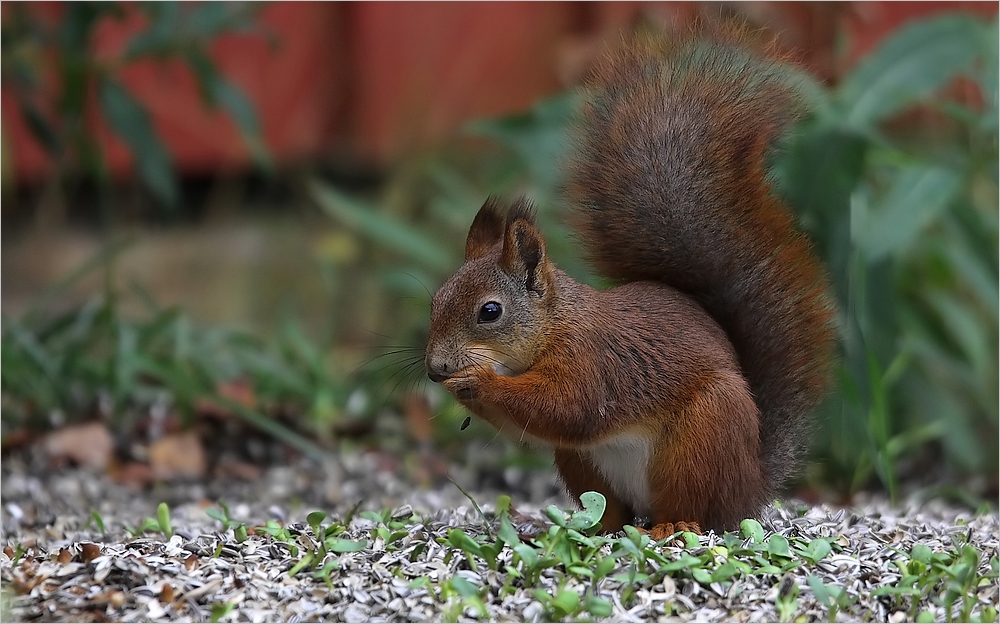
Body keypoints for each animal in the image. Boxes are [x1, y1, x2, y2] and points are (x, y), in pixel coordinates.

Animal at [422, 30, 836, 536]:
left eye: (490, 311)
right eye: (436, 302)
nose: (435, 367)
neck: (553, 329)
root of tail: (750, 488)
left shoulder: (592, 361)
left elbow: (568, 407)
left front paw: (477, 380)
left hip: (702, 438)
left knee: (693, 508)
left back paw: (673, 527)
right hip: (584, 464)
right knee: (612, 509)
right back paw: (595, 527)